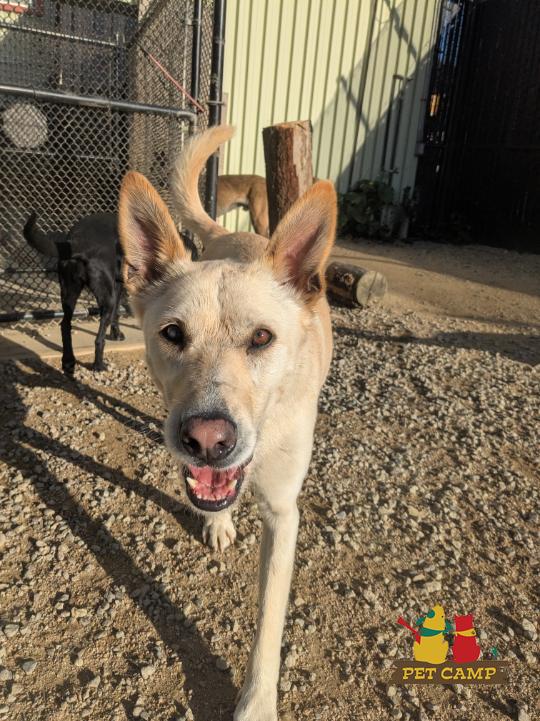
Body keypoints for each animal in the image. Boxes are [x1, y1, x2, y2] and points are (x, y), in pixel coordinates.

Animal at [23, 211, 125, 375]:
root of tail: (77, 242)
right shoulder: (120, 284)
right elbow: (117, 311)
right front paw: (116, 334)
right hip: (106, 297)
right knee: (99, 339)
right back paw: (98, 365)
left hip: (68, 293)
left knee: (65, 325)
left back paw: (68, 362)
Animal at [117, 124, 336, 721]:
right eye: (172, 334)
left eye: (262, 337)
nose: (207, 440)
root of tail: (231, 233)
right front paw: (217, 519)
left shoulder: (284, 513)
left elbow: (269, 622)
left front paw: (257, 703)